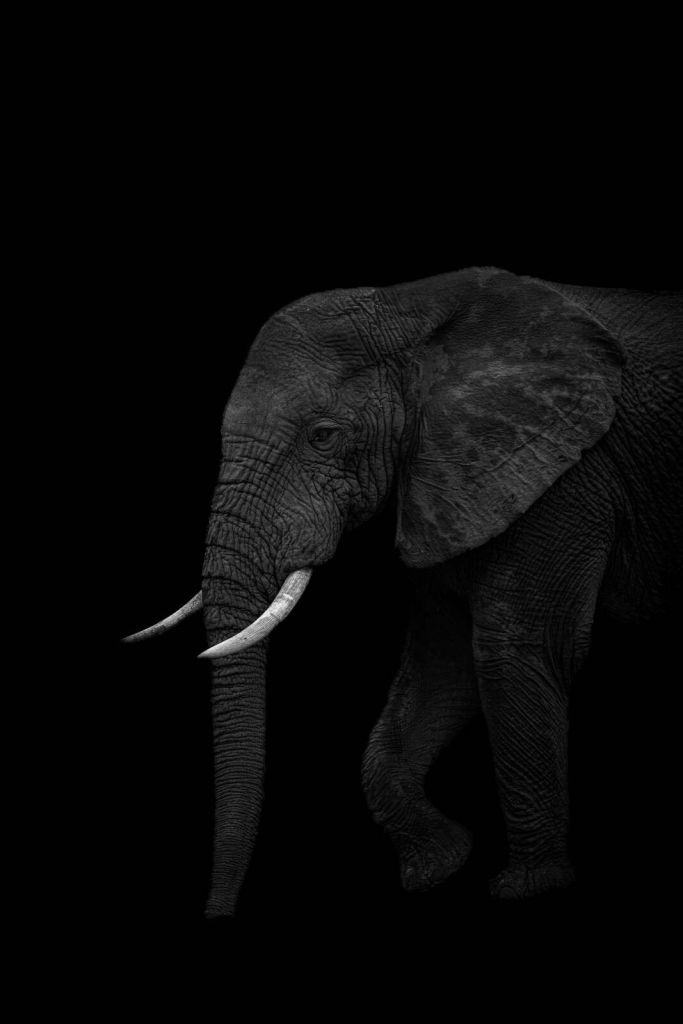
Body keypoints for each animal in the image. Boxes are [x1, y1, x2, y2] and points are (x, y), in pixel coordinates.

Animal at [123, 266, 682, 918]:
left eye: (323, 436)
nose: (217, 912)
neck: (414, 307)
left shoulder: (569, 475)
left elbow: (516, 649)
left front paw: (528, 888)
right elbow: (443, 663)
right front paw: (436, 866)